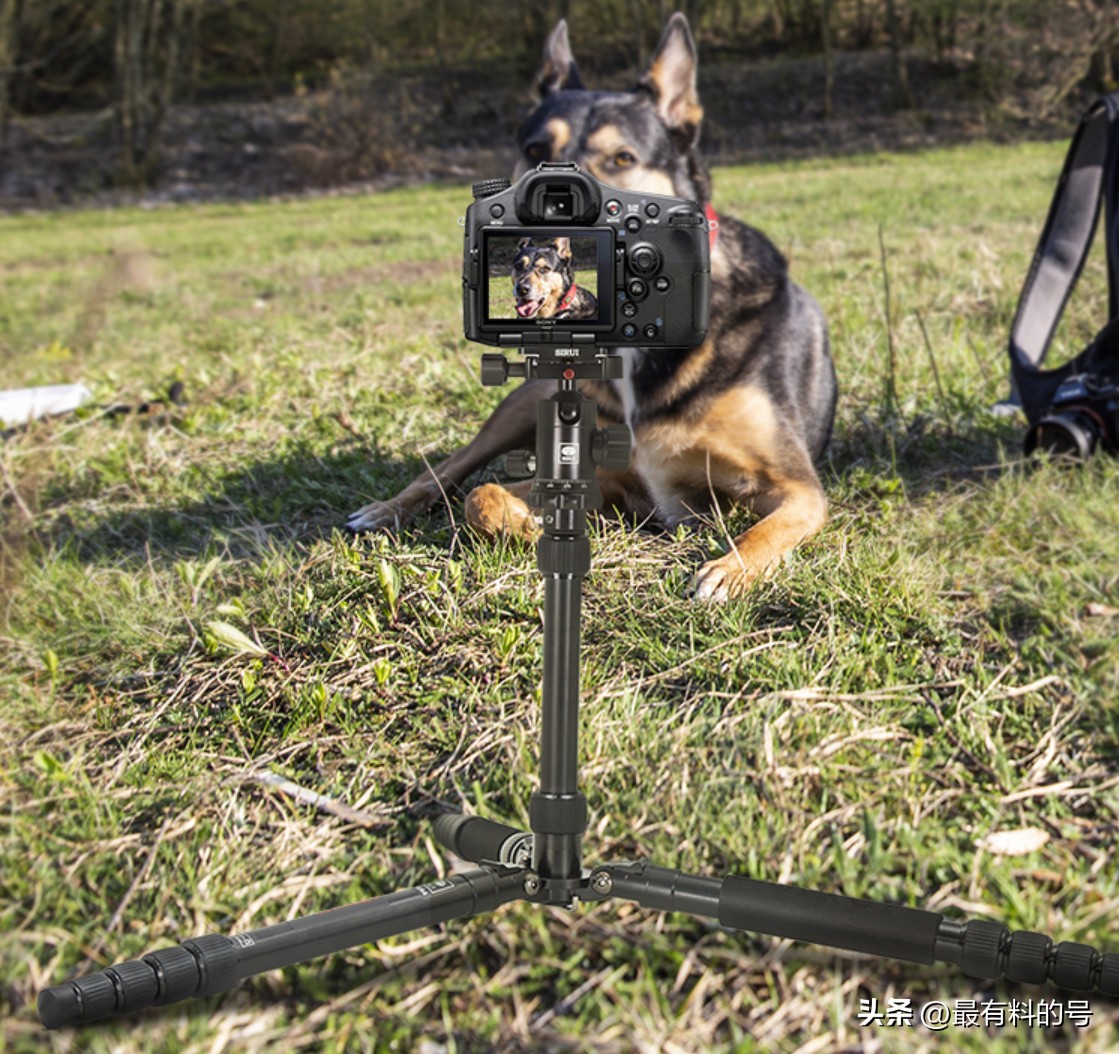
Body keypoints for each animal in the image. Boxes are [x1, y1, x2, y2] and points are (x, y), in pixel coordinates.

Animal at [344, 12, 837, 604]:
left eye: (622, 158)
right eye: (534, 147)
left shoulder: (796, 487)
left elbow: (763, 529)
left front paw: (726, 571)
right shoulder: (608, 475)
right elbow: (481, 495)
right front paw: (526, 523)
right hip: (519, 404)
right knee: (448, 470)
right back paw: (384, 509)